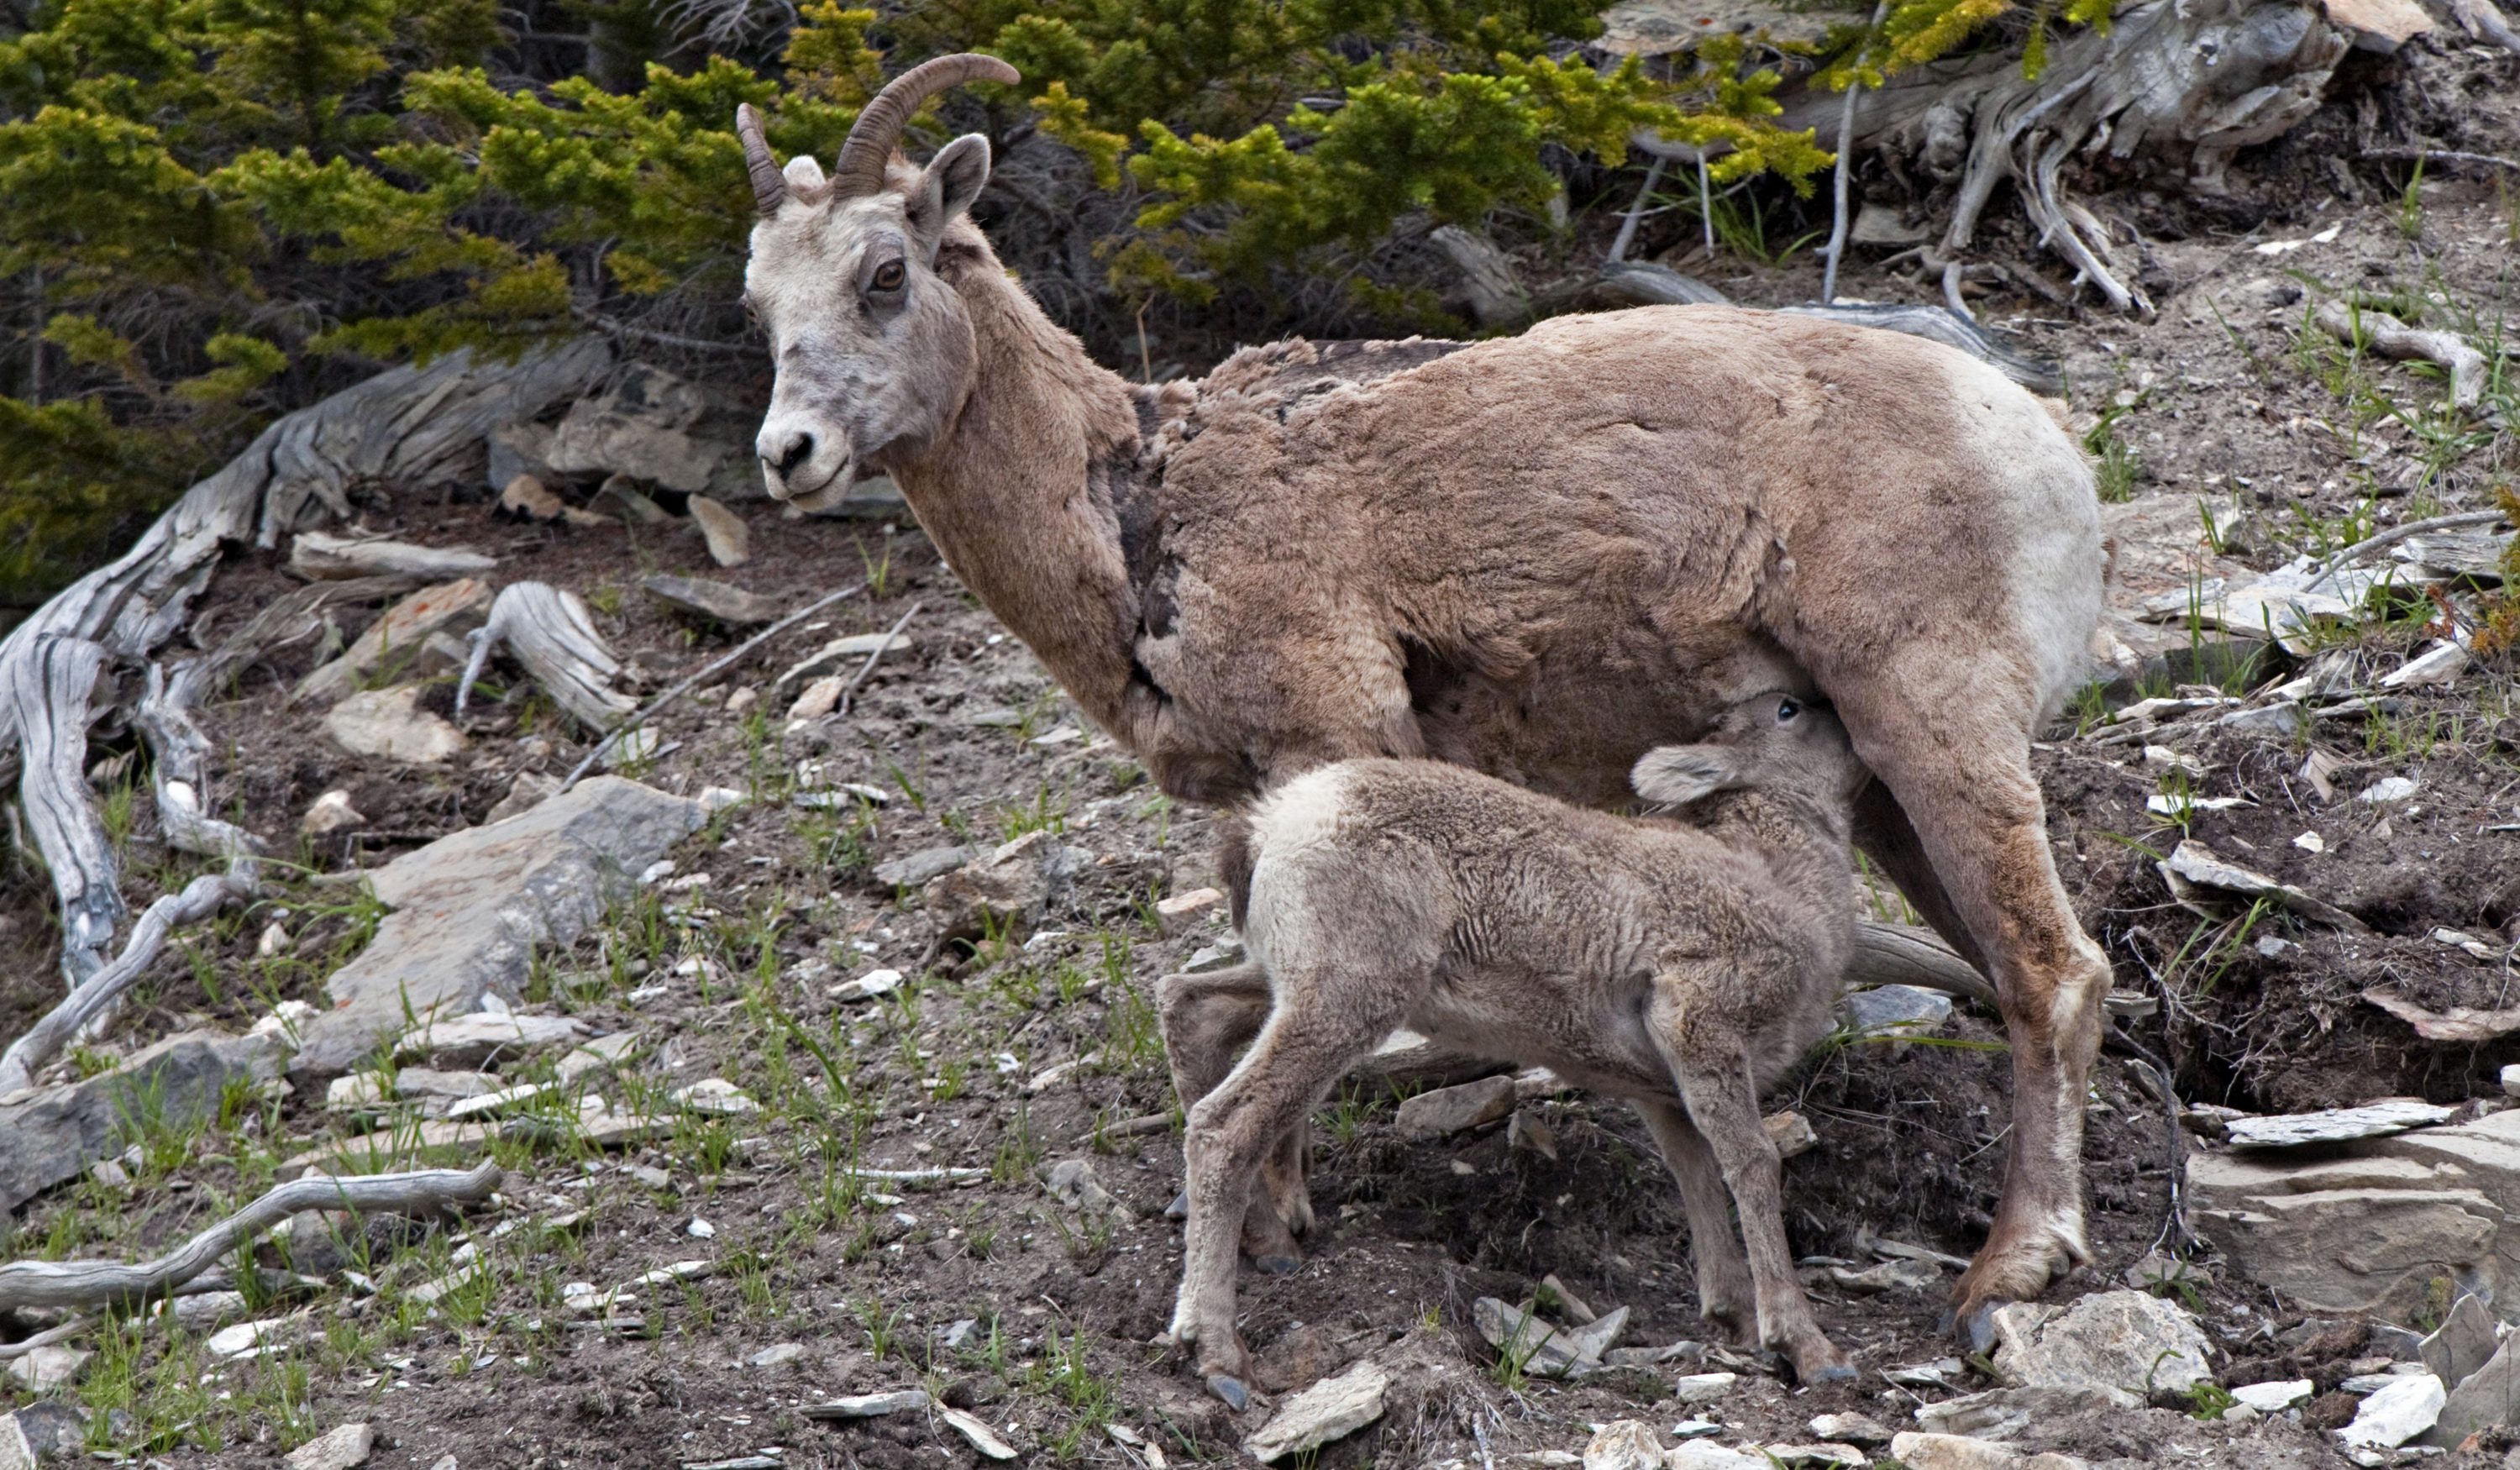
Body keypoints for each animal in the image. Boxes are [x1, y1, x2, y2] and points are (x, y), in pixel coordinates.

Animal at [736, 57, 2117, 1341]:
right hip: (1882, 791)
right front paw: (1277, 1224)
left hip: (1934, 723)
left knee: (2053, 970)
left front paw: (1281, 1221)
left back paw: (2013, 1266)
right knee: (2005, 967)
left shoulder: (1337, 743)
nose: (788, 456)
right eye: (759, 297)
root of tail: (2044, 451)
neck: (1138, 506)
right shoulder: (1246, 803)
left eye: (884, 273)